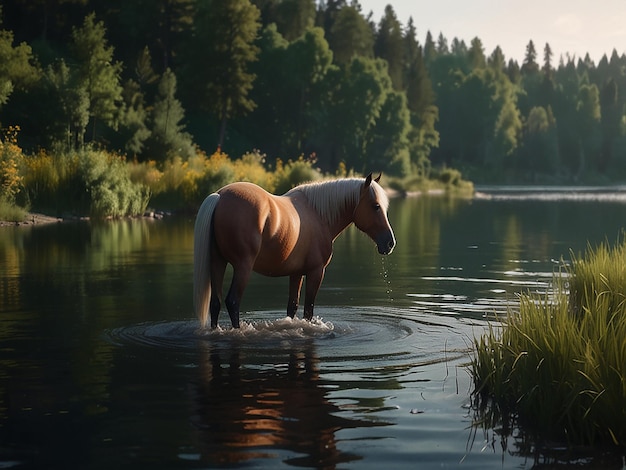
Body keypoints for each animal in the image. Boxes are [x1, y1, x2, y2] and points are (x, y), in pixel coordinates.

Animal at [193, 173, 392, 330]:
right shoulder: (316, 272)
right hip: (243, 267)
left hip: (218, 262)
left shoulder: (296, 273)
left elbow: (293, 306)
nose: (390, 243)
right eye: (376, 206)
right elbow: (308, 309)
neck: (319, 216)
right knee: (233, 301)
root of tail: (219, 196)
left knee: (216, 303)